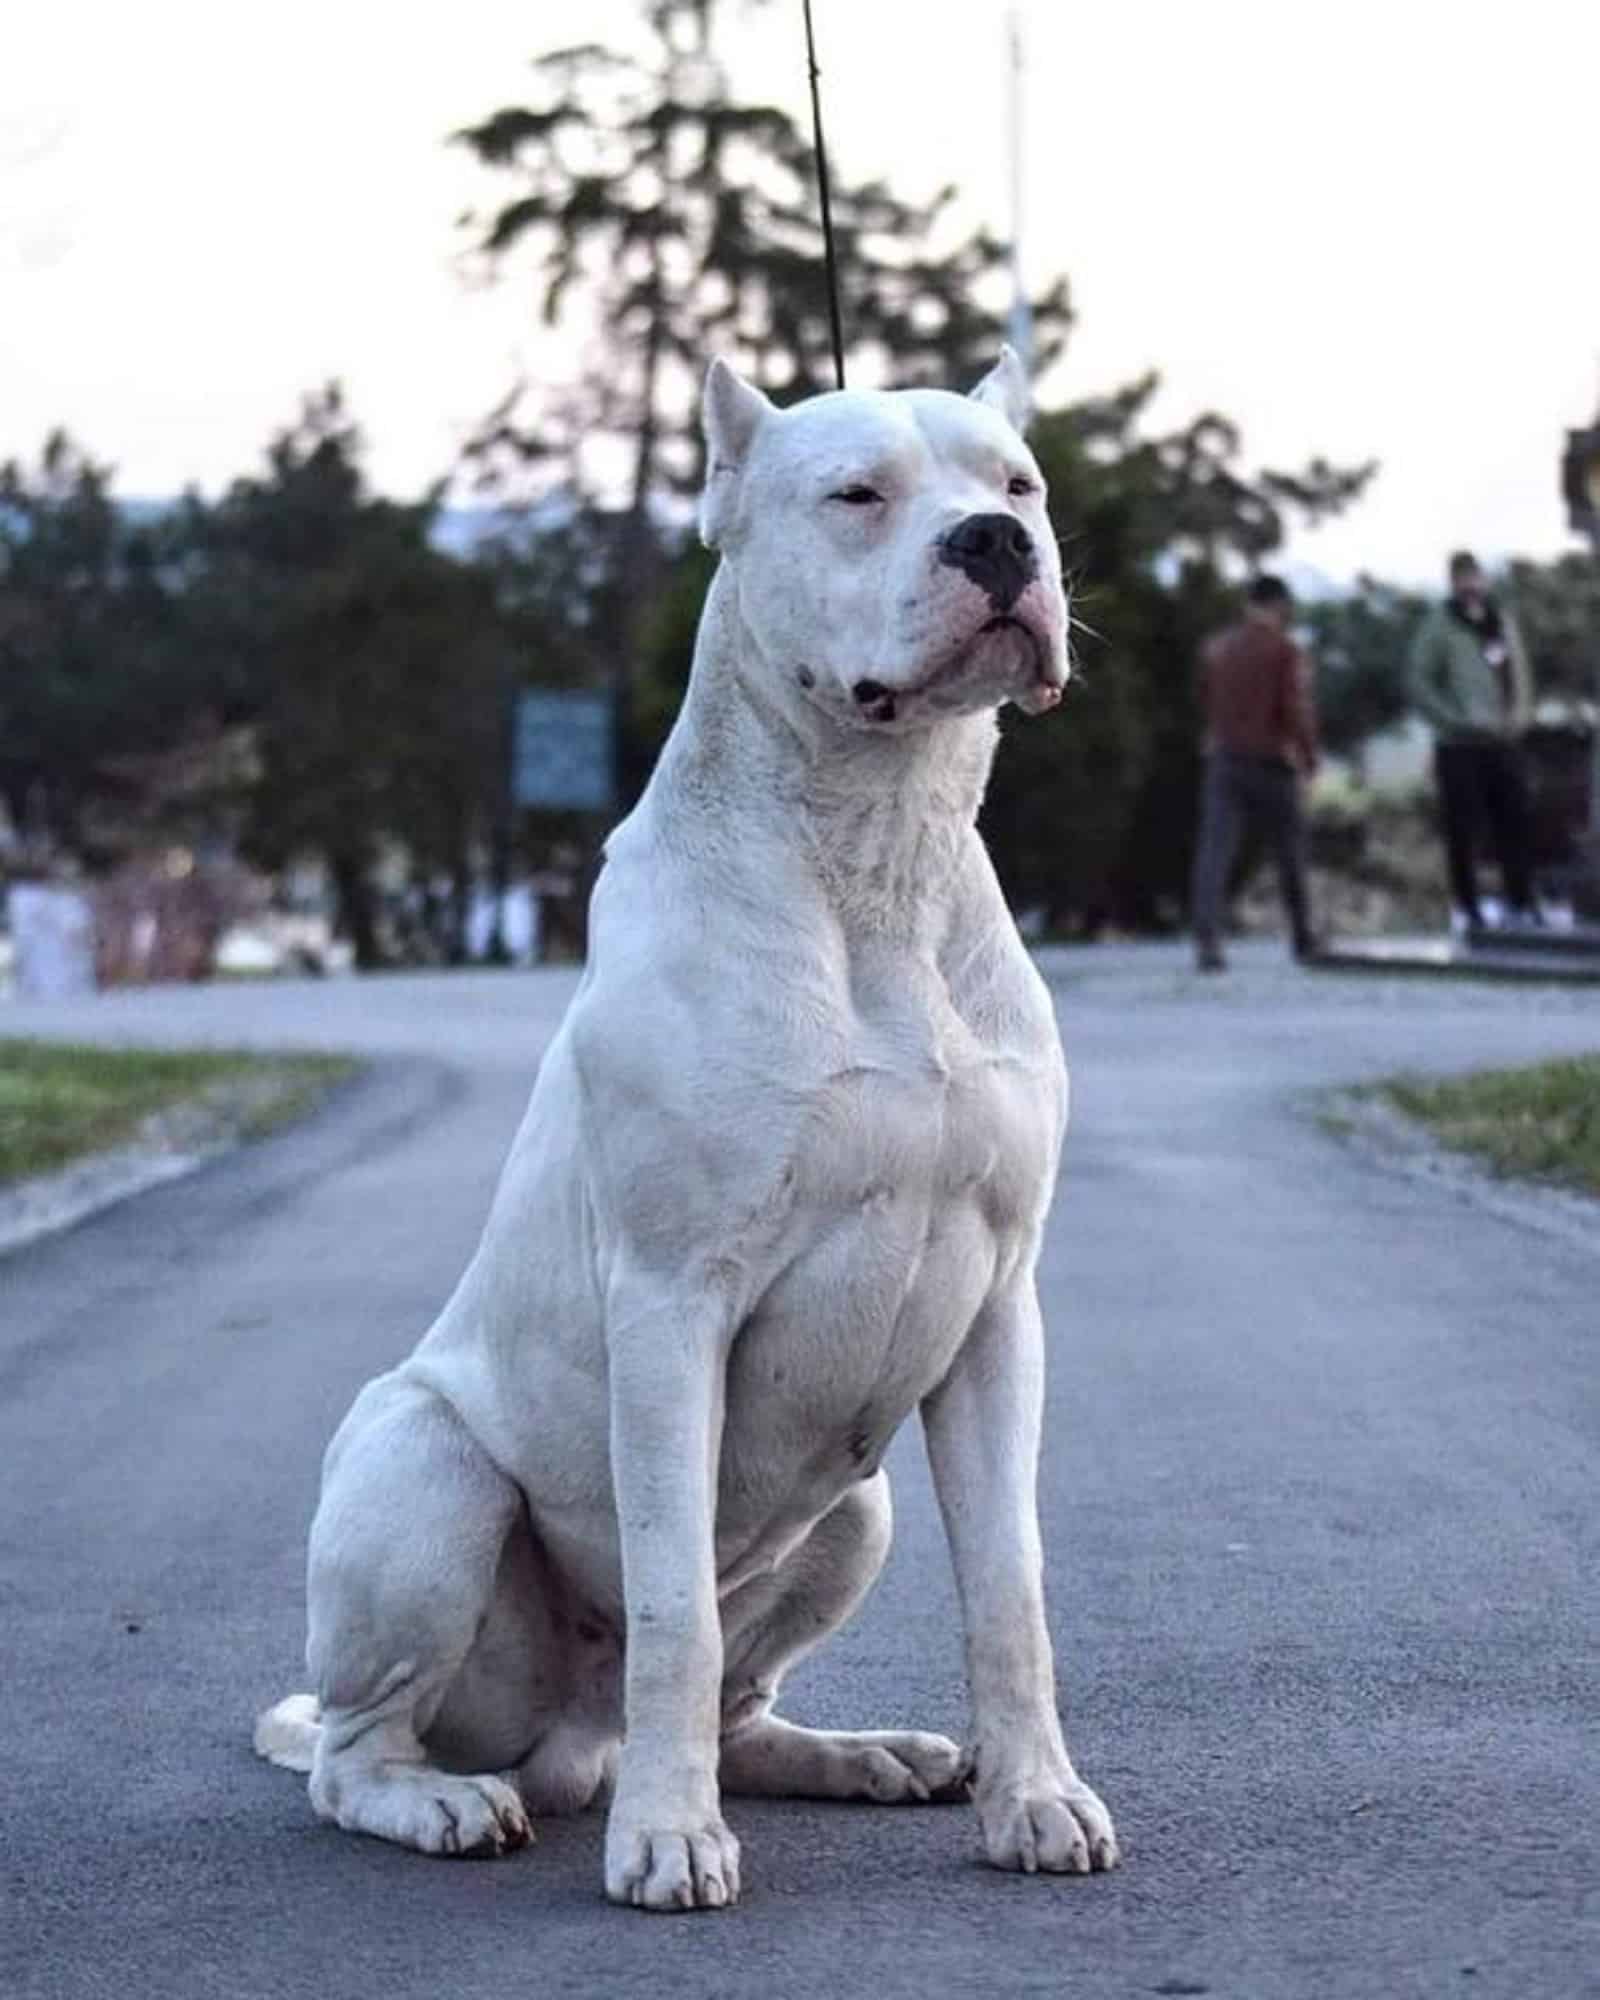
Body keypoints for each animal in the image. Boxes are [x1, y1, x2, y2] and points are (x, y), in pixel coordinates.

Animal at [256, 352, 1120, 1912]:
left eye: (1016, 484)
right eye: (857, 495)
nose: (994, 546)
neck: (874, 850)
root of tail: (570, 1740)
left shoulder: (996, 1315)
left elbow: (1008, 1587)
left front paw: (1035, 1798)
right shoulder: (670, 1309)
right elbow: (671, 1605)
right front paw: (667, 1836)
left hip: (859, 1506)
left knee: (743, 1699)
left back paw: (852, 1754)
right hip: (425, 1469)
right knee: (357, 1750)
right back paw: (450, 1800)